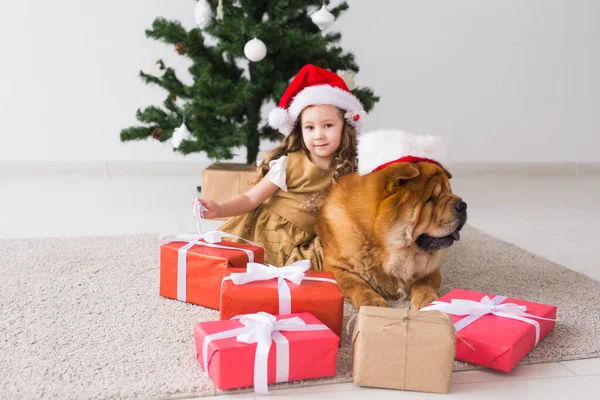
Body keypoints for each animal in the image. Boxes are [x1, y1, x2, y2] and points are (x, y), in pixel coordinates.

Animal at [316, 131, 466, 310]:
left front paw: (428, 302)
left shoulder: (430, 269)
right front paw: (374, 304)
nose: (463, 206)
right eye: (431, 198)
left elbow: (425, 284)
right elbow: (358, 285)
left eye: (449, 192)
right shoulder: (335, 267)